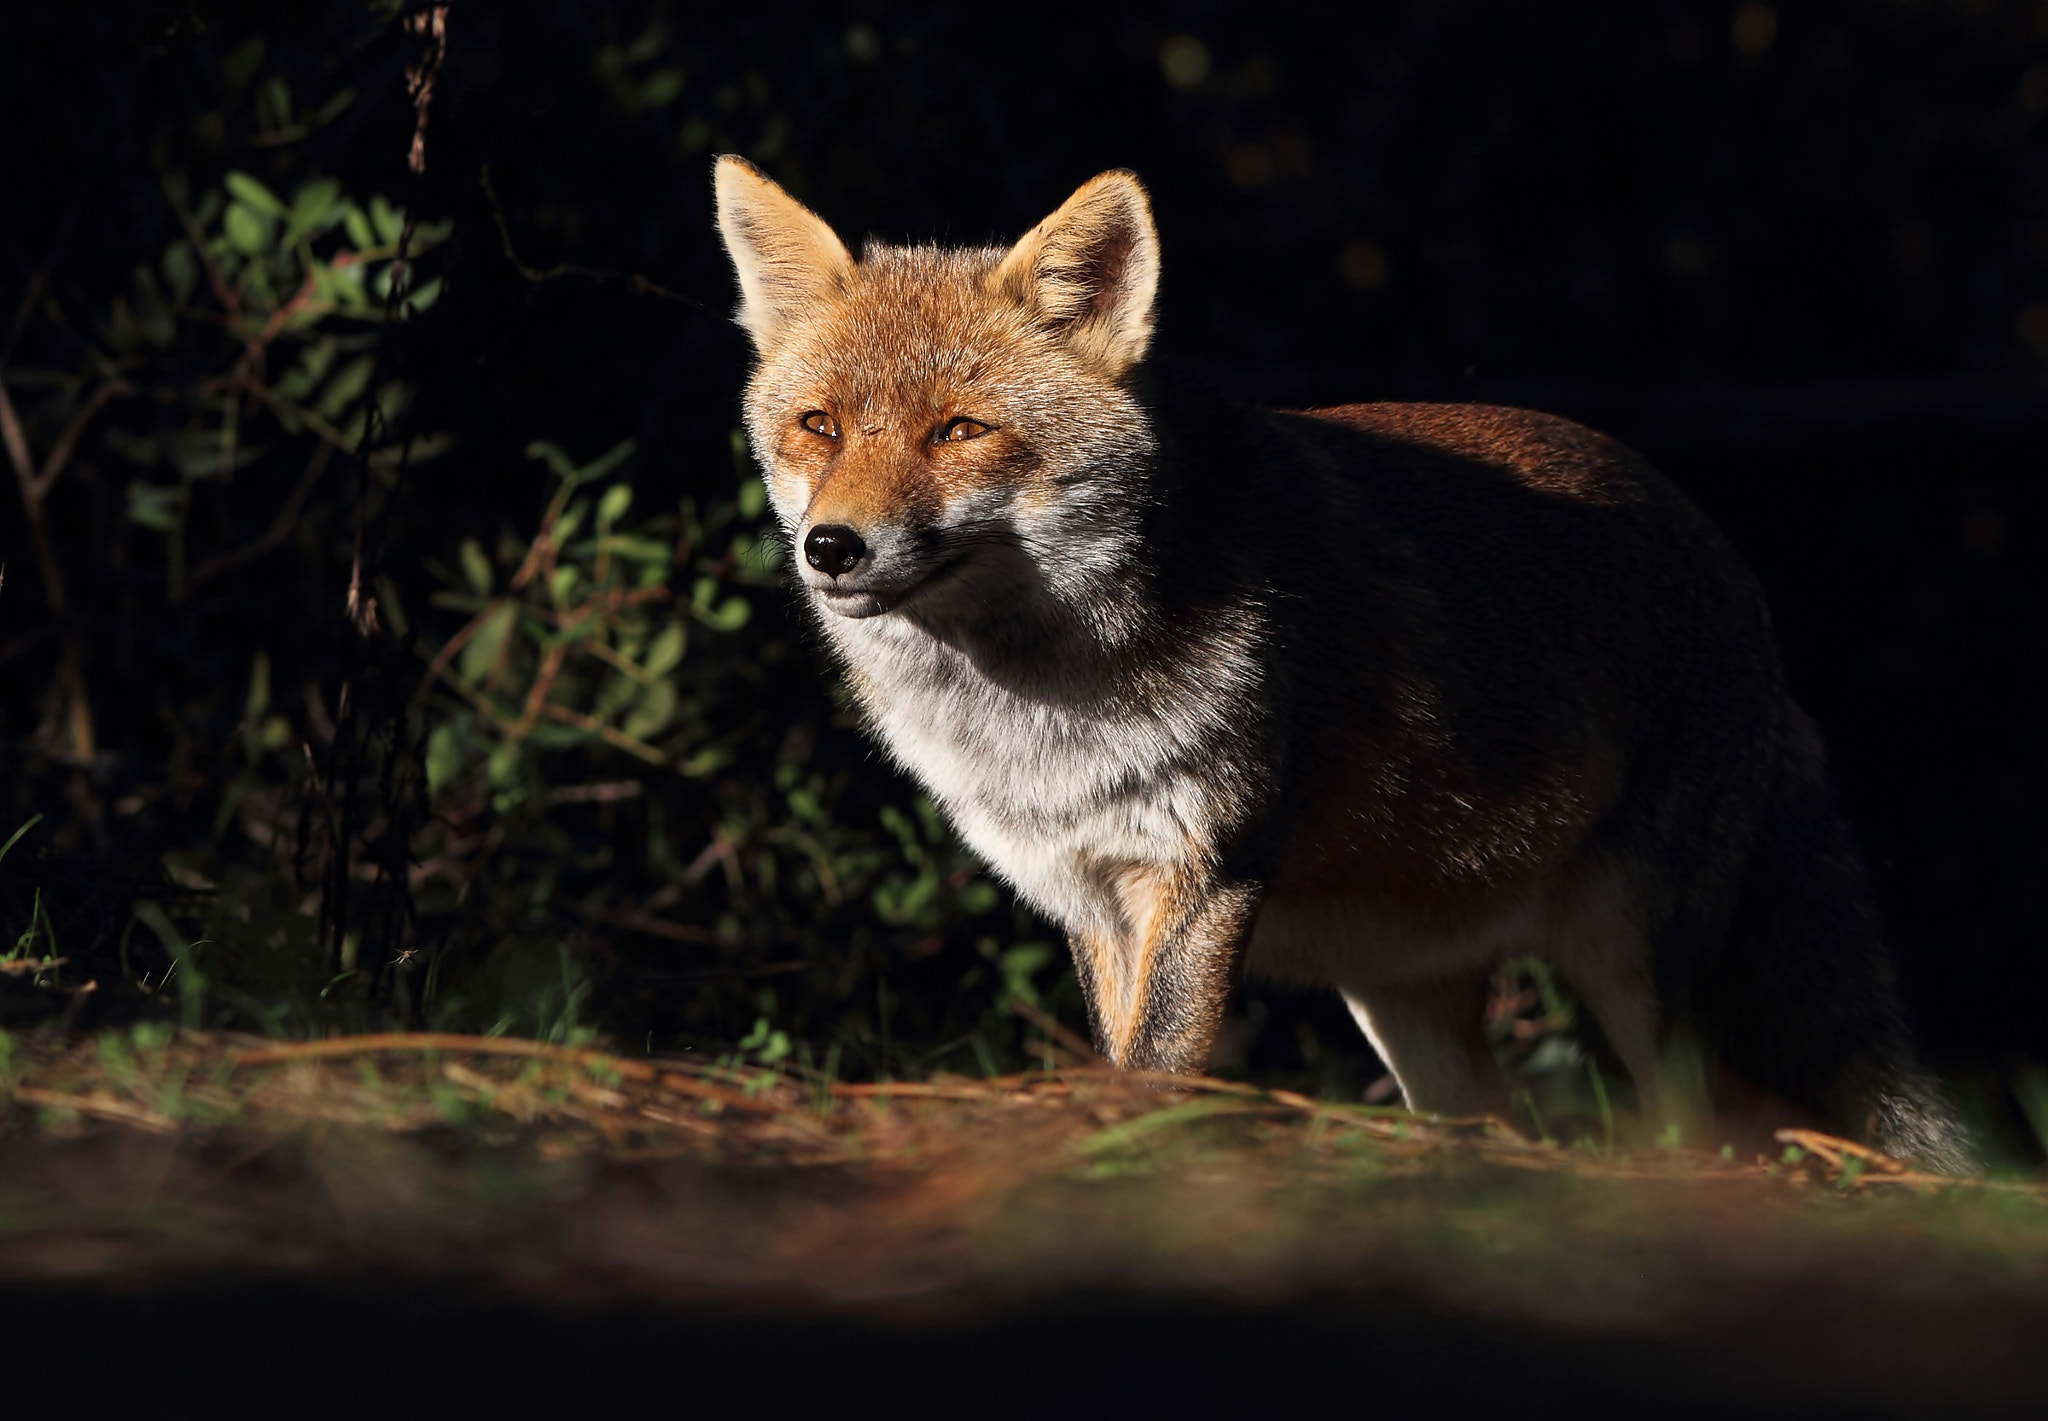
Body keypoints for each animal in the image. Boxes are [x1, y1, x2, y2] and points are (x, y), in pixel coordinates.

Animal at [712, 154, 1974, 1171]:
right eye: (819, 426)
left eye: (959, 430)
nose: (831, 546)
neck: (1041, 712)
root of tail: (1726, 558)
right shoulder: (1088, 888)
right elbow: (1118, 1058)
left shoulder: (1205, 869)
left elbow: (1160, 1064)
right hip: (1404, 996)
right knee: (1495, 1113)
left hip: (1633, 964)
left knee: (1699, 1115)